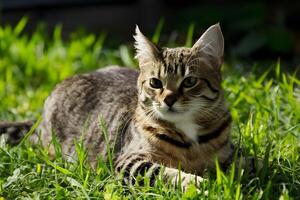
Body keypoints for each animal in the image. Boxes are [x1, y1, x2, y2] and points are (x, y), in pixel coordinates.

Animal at [0, 24, 244, 190]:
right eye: (156, 83)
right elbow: (164, 172)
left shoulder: (229, 153)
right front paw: (197, 183)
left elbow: (248, 163)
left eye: (190, 81)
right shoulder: (130, 161)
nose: (168, 100)